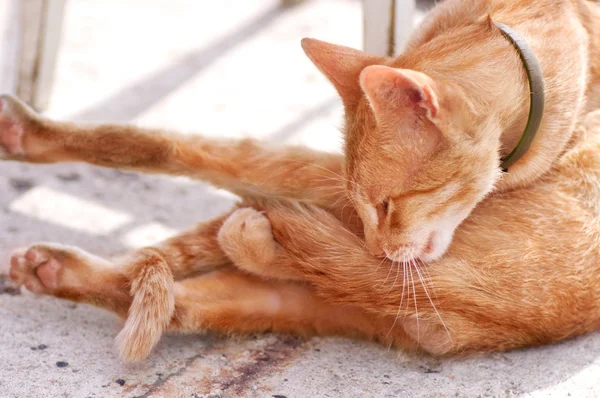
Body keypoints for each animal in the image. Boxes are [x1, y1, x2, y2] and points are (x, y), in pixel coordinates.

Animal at [1, 0, 600, 360]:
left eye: (388, 205)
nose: (377, 245)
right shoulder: (334, 189)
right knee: (175, 286)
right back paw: (49, 257)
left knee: (200, 275)